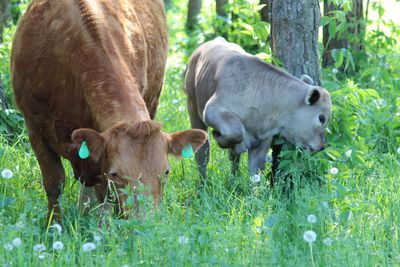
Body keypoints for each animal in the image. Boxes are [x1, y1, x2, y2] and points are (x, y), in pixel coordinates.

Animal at [11, 0, 208, 222]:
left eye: (166, 172)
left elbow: (103, 195)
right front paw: (54, 225)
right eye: (116, 174)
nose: (147, 224)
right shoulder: (35, 128)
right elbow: (54, 183)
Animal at [184, 37, 332, 180]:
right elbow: (236, 132)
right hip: (193, 107)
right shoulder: (212, 109)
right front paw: (218, 137)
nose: (321, 146)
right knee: (203, 154)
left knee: (233, 158)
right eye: (321, 118)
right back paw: (202, 185)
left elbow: (255, 172)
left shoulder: (263, 140)